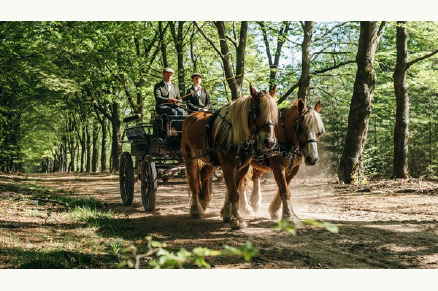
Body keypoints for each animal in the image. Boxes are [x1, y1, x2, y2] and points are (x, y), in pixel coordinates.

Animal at [181, 83, 278, 229]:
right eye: (256, 110)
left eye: (275, 112)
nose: (269, 141)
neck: (237, 135)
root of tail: (191, 116)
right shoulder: (227, 165)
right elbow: (233, 193)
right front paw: (237, 219)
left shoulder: (242, 167)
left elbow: (234, 191)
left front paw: (228, 214)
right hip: (190, 158)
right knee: (193, 182)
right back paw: (196, 209)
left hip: (212, 161)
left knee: (203, 175)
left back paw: (204, 200)